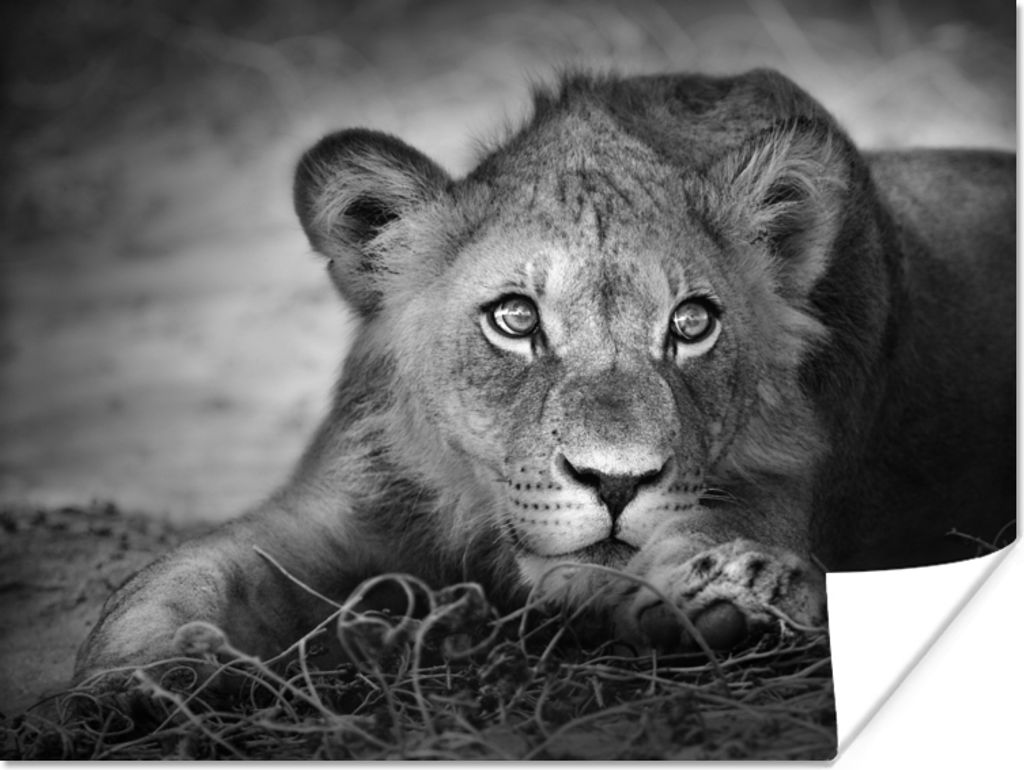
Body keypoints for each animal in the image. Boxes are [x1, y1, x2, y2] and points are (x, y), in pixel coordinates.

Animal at [74, 68, 1015, 683]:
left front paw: (732, 596)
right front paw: (137, 682)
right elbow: (182, 575)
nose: (616, 482)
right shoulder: (335, 508)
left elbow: (718, 537)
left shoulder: (776, 488)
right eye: (515, 319)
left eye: (692, 324)